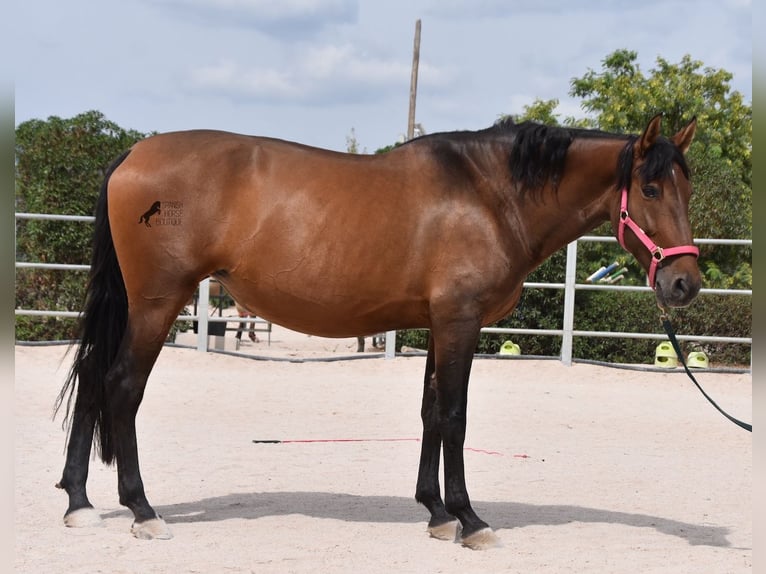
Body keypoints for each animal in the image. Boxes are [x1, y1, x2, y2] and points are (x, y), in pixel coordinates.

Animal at [54, 115, 704, 552]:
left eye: (687, 189)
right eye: (650, 189)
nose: (684, 283)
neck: (488, 195)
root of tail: (133, 153)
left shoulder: (440, 325)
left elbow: (431, 412)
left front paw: (436, 513)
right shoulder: (461, 321)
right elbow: (455, 416)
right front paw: (470, 520)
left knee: (92, 380)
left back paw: (79, 502)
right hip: (157, 303)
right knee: (121, 386)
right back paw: (142, 510)